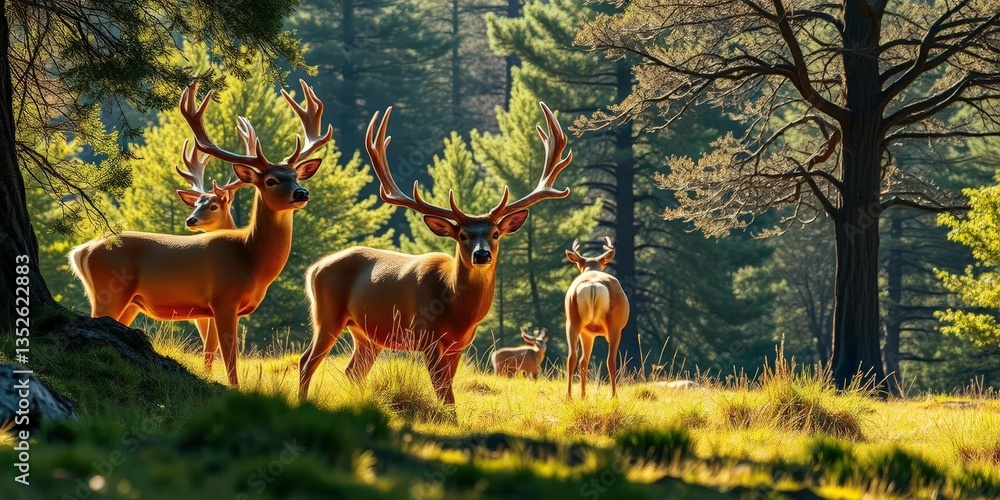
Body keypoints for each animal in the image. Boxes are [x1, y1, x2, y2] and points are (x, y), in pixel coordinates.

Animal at [68, 79, 331, 386]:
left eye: (297, 176)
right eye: (271, 180)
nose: (302, 193)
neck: (251, 257)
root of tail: (81, 251)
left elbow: (214, 351)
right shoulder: (223, 298)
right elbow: (229, 354)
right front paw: (235, 387)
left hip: (130, 301)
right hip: (108, 290)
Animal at [298, 102, 573, 406]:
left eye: (495, 234)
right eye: (462, 235)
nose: (482, 255)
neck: (456, 308)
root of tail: (313, 269)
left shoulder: (458, 345)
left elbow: (448, 391)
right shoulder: (427, 337)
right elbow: (445, 394)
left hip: (366, 333)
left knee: (352, 371)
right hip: (327, 315)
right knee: (306, 361)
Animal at [564, 237, 630, 399]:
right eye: (604, 264)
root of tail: (593, 285)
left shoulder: (587, 333)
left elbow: (583, 361)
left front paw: (583, 395)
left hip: (573, 321)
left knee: (573, 358)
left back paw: (571, 396)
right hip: (614, 325)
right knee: (611, 360)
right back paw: (613, 396)